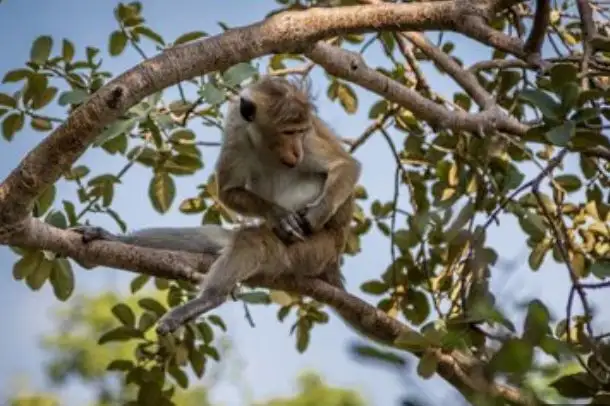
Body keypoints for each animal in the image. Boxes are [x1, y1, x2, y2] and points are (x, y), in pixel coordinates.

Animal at [74, 74, 364, 334]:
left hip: (315, 251)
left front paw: (312, 216)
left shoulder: (311, 142)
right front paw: (278, 214)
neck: (263, 143)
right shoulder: (236, 129)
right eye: (288, 132)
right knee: (211, 236)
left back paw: (209, 298)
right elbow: (228, 192)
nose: (296, 152)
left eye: (301, 132)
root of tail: (334, 258)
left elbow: (346, 165)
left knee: (254, 240)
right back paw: (115, 239)